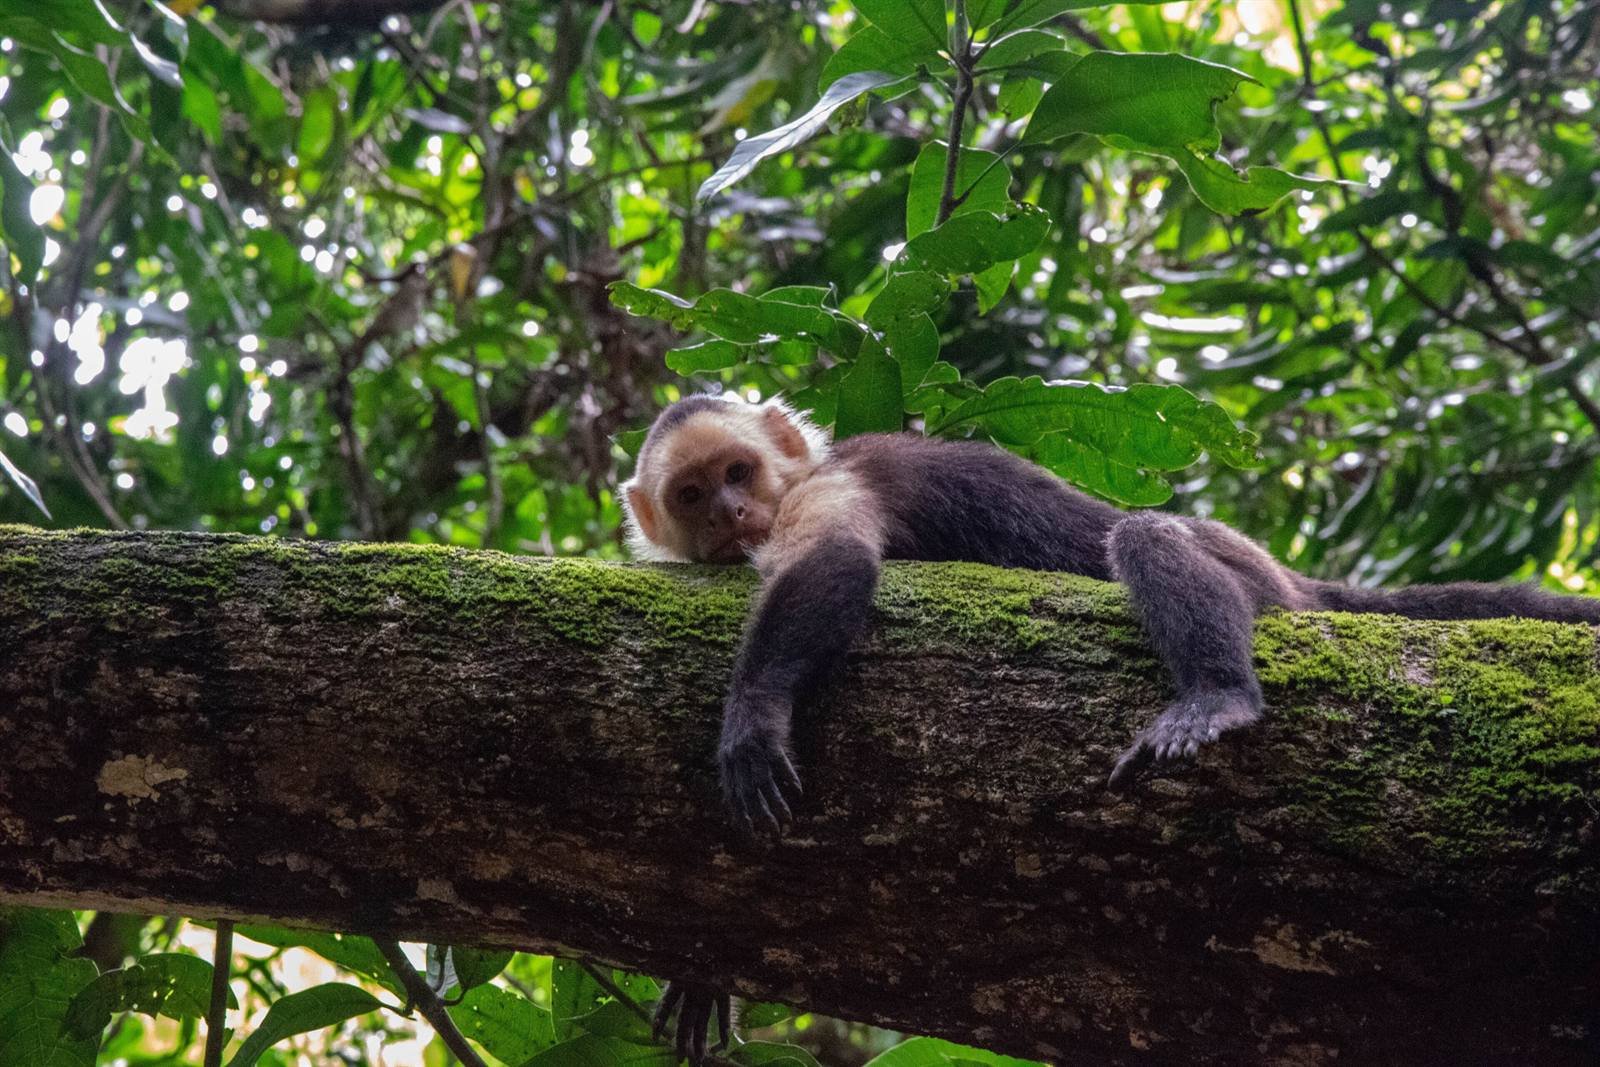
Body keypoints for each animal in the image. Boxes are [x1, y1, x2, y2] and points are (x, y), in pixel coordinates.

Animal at [626, 393, 1600, 1059]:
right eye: (693, 492)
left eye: (740, 474)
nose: (732, 515)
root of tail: (1296, 583)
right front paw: (702, 973)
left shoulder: (826, 485)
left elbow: (833, 563)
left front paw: (755, 716)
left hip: (1257, 582)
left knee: (1145, 537)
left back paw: (1219, 691)